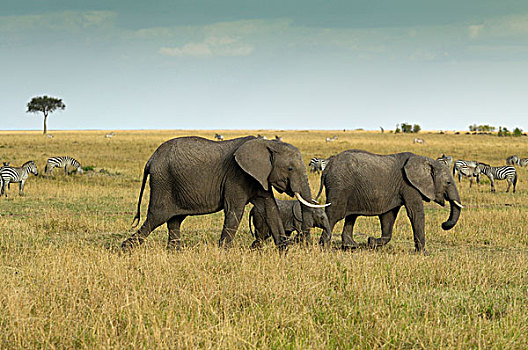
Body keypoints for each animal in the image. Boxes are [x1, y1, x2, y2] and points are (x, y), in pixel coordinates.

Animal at [121, 135, 328, 250]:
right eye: (290, 169)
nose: (304, 243)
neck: (267, 144)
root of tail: (150, 160)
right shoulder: (236, 175)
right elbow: (234, 211)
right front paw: (224, 252)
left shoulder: (259, 177)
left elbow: (271, 209)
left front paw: (283, 251)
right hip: (163, 183)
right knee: (156, 217)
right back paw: (125, 249)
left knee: (174, 221)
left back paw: (174, 253)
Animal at [316, 150, 464, 254]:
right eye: (448, 182)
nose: (443, 224)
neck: (425, 160)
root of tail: (327, 167)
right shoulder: (409, 186)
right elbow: (415, 214)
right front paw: (424, 253)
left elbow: (389, 217)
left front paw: (371, 242)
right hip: (340, 186)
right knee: (334, 214)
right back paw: (325, 248)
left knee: (351, 216)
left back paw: (351, 246)